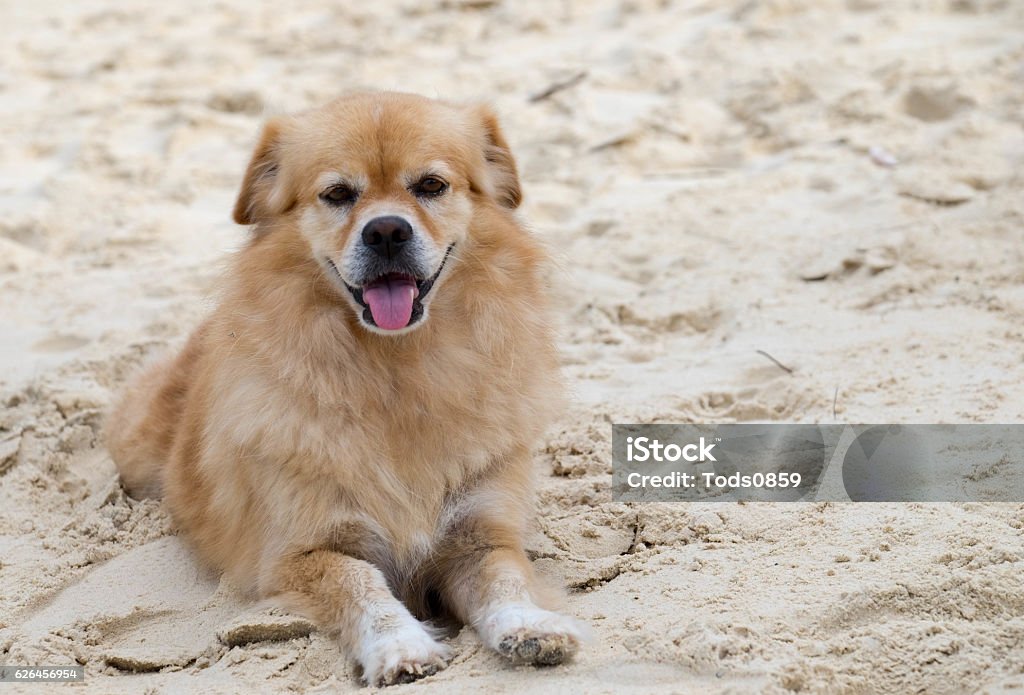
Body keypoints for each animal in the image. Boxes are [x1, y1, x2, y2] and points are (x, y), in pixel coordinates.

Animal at [107, 91, 585, 683]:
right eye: (337, 194)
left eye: (431, 185)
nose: (386, 231)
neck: (397, 369)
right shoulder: (302, 555)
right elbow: (362, 587)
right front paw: (401, 647)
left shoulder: (481, 533)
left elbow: (506, 578)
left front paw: (529, 626)